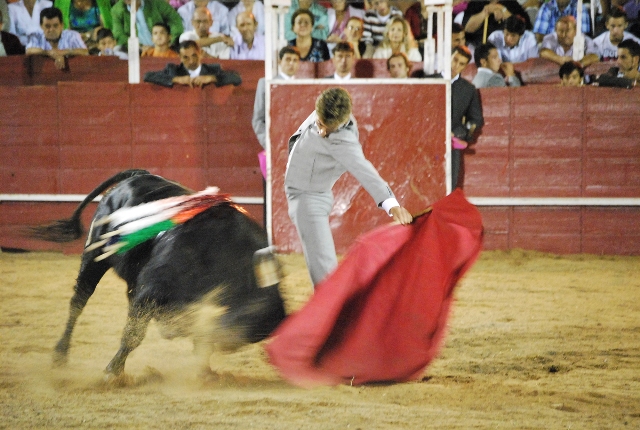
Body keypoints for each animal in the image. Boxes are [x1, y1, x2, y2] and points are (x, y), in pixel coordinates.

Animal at [31, 170, 286, 378]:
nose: (228, 344)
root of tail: (136, 176)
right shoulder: (152, 290)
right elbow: (134, 333)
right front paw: (112, 372)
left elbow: (199, 332)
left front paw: (204, 371)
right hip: (95, 255)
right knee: (79, 301)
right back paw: (60, 355)